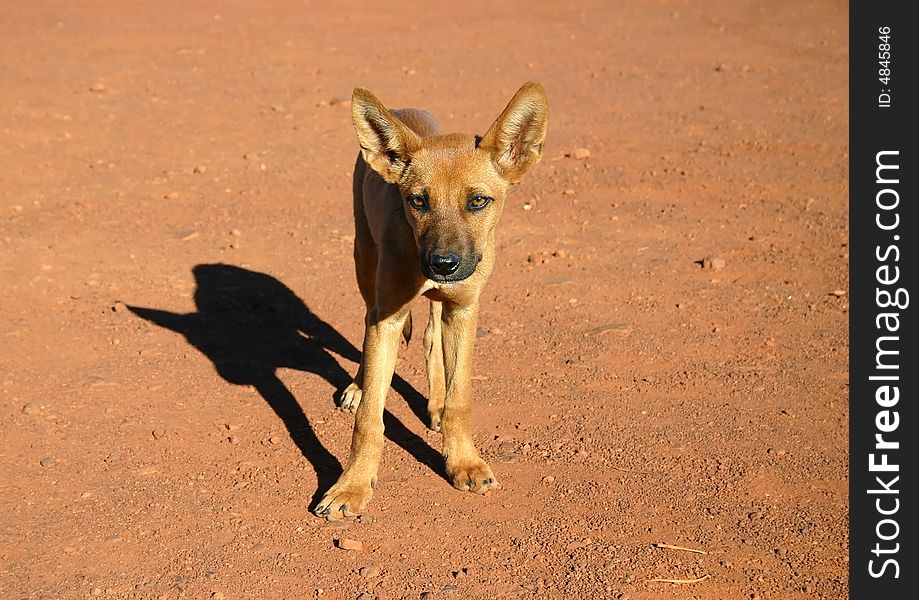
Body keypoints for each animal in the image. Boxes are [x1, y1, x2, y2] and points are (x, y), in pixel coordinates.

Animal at [314, 81, 548, 520]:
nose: (443, 264)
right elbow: (370, 419)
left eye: (478, 201)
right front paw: (352, 485)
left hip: (442, 301)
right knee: (367, 319)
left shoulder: (464, 309)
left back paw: (435, 402)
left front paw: (464, 462)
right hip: (363, 261)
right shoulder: (387, 317)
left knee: (430, 337)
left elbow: (460, 399)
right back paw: (357, 386)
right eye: (418, 201)